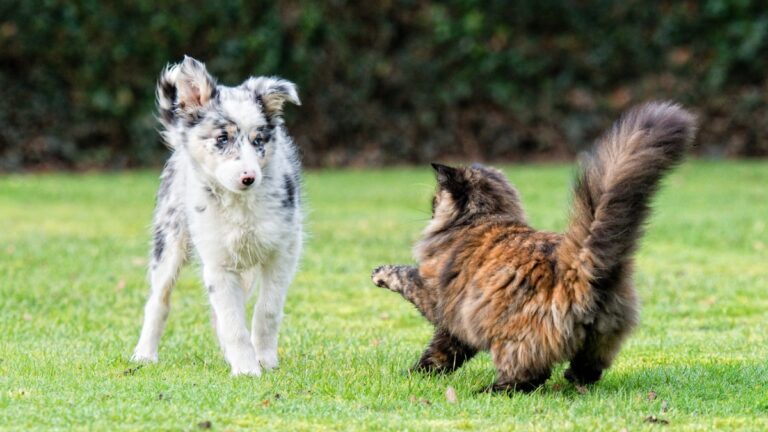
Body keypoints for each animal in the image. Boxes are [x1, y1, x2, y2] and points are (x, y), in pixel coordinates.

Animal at [130, 56, 302, 374]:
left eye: (258, 141)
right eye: (223, 138)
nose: (249, 177)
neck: (240, 205)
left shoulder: (283, 251)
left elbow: (267, 310)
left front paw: (265, 359)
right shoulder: (217, 262)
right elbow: (233, 322)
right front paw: (246, 370)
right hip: (169, 241)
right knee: (158, 301)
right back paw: (144, 354)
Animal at [372, 101, 696, 392]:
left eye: (434, 201)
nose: (430, 210)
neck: (482, 218)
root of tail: (579, 264)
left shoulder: (437, 297)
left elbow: (405, 277)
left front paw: (380, 274)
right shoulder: (456, 324)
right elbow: (442, 353)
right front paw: (419, 374)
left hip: (512, 339)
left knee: (529, 377)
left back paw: (491, 390)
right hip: (601, 337)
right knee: (589, 369)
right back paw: (573, 379)